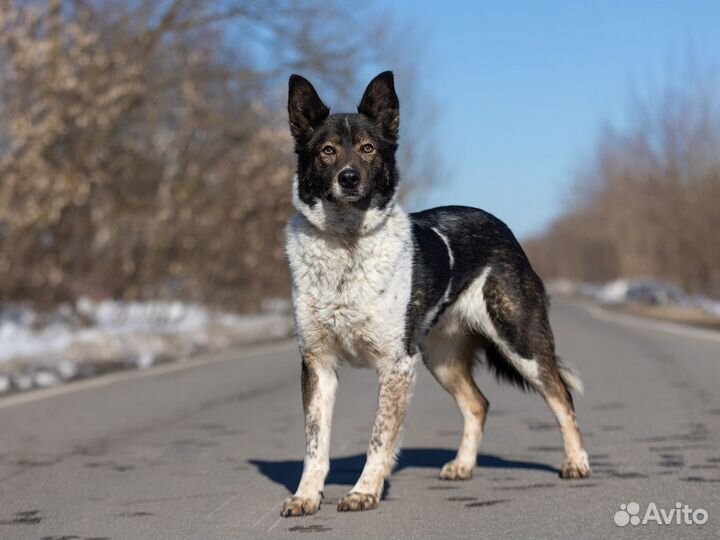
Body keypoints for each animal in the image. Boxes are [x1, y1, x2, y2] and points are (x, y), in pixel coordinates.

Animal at [282, 70, 592, 516]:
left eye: (367, 149)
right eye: (327, 151)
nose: (349, 178)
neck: (347, 243)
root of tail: (502, 228)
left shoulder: (396, 364)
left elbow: (379, 436)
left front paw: (364, 491)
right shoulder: (318, 363)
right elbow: (315, 442)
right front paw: (306, 496)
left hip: (521, 343)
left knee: (562, 397)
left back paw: (576, 462)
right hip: (441, 357)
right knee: (478, 404)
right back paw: (462, 466)